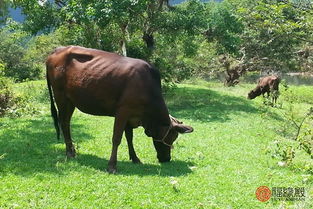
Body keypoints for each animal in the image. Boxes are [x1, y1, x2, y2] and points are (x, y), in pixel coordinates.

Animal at [46, 45, 193, 173]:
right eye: (171, 137)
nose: (166, 159)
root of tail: (57, 50)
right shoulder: (123, 111)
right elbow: (117, 138)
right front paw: (112, 166)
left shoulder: (130, 116)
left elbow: (129, 137)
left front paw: (135, 158)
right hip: (61, 97)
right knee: (64, 123)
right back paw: (69, 152)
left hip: (71, 101)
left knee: (66, 123)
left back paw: (72, 150)